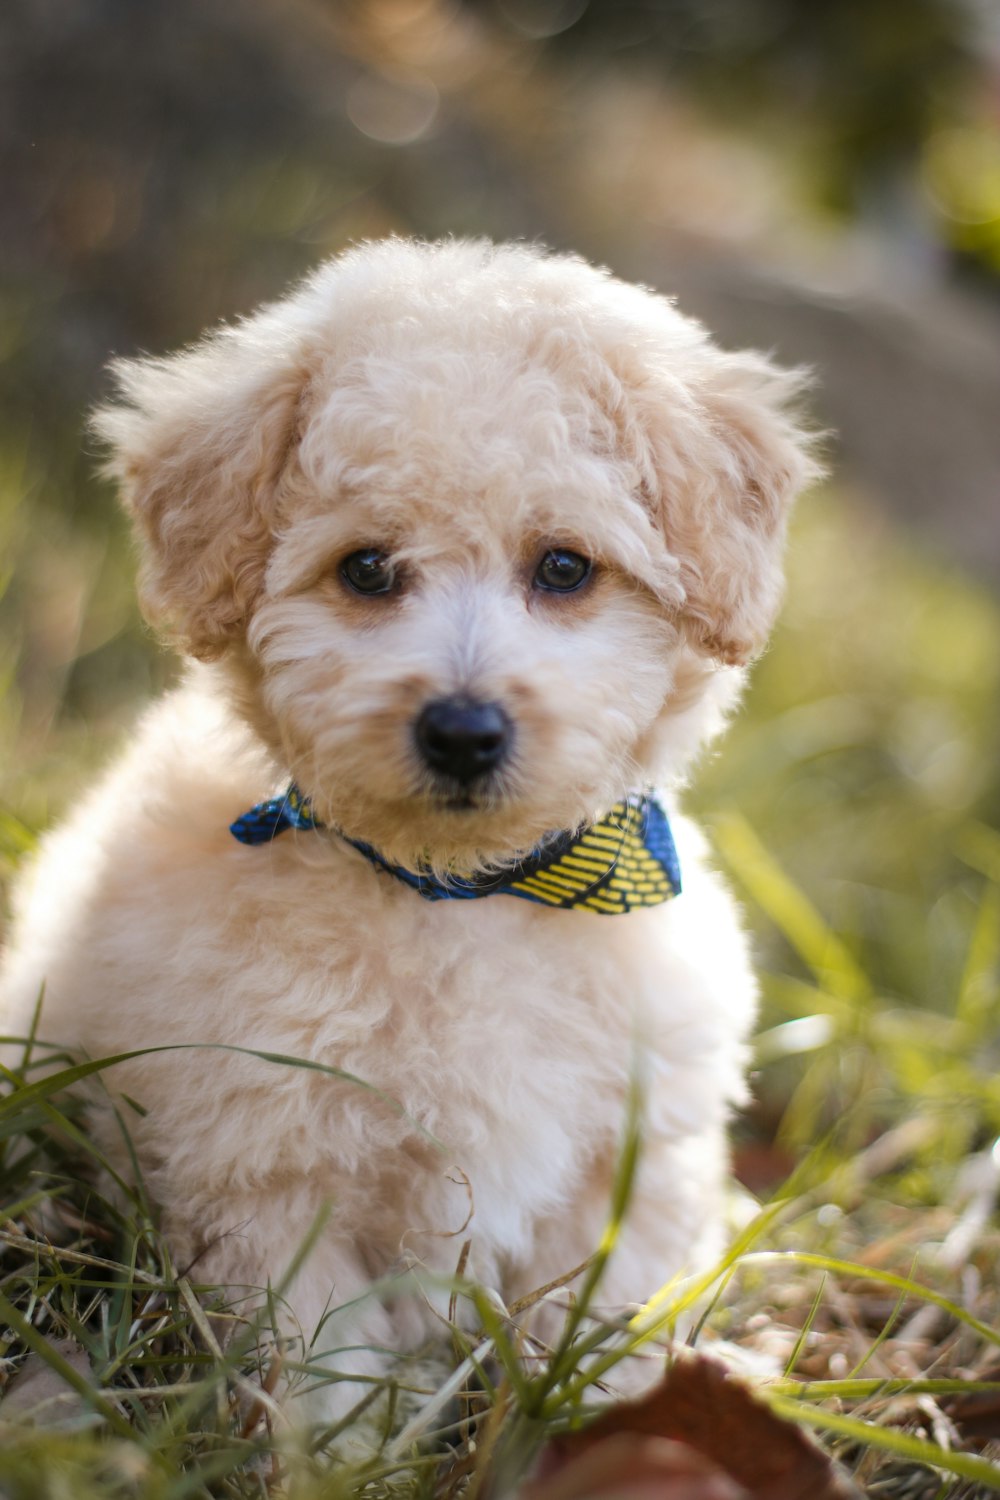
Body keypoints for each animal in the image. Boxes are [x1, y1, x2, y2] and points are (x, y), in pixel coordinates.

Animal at [0, 234, 821, 1416]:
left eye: (564, 566)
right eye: (366, 569)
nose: (464, 731)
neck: (459, 891)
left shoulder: (629, 1160)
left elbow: (598, 1323)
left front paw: (594, 1421)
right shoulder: (260, 1169)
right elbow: (324, 1362)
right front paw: (337, 1447)